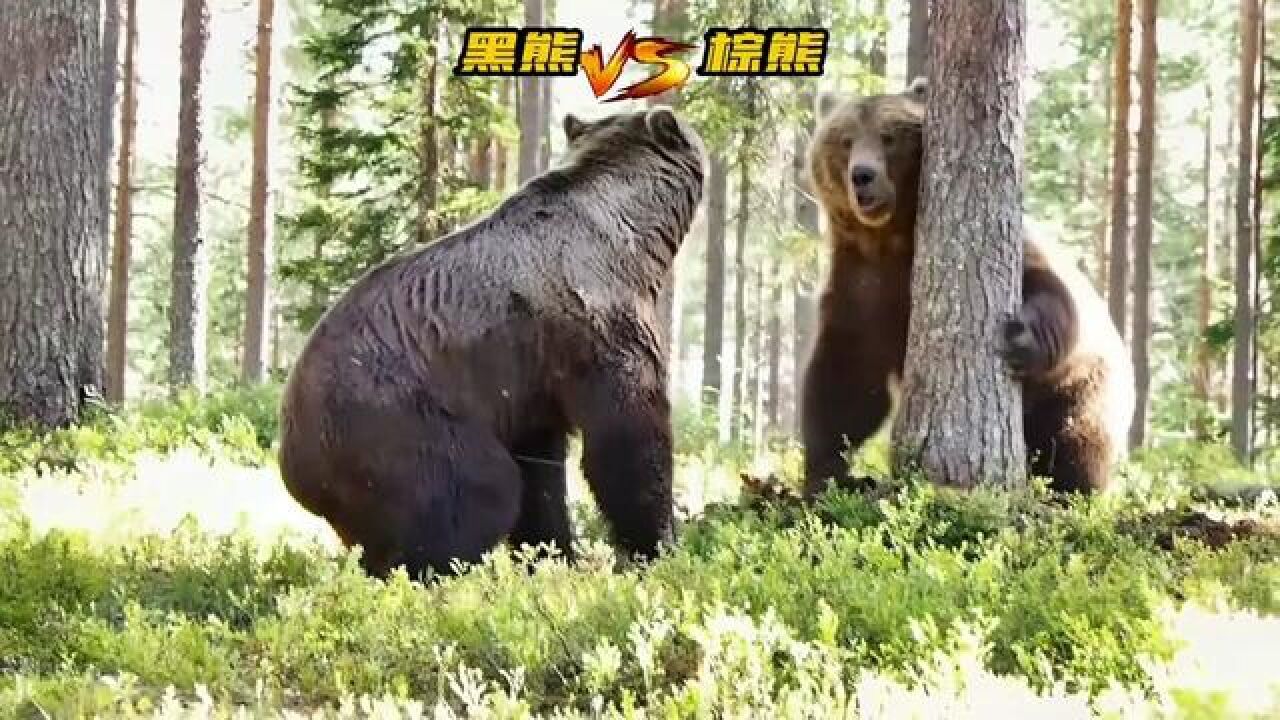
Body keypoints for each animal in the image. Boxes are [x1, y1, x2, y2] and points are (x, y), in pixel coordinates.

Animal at [277, 106, 706, 579]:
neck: (638, 239)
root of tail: (295, 465)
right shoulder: (600, 324)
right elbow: (629, 438)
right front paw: (658, 547)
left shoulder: (530, 384)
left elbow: (542, 474)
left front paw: (552, 557)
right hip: (397, 424)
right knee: (477, 492)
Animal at [800, 77, 1135, 498]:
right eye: (845, 140)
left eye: (888, 137)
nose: (862, 175)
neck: (891, 239)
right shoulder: (861, 283)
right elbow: (845, 377)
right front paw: (832, 476)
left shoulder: (1013, 249)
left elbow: (1050, 288)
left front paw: (1019, 339)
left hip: (1083, 386)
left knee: (1076, 439)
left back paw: (1067, 490)